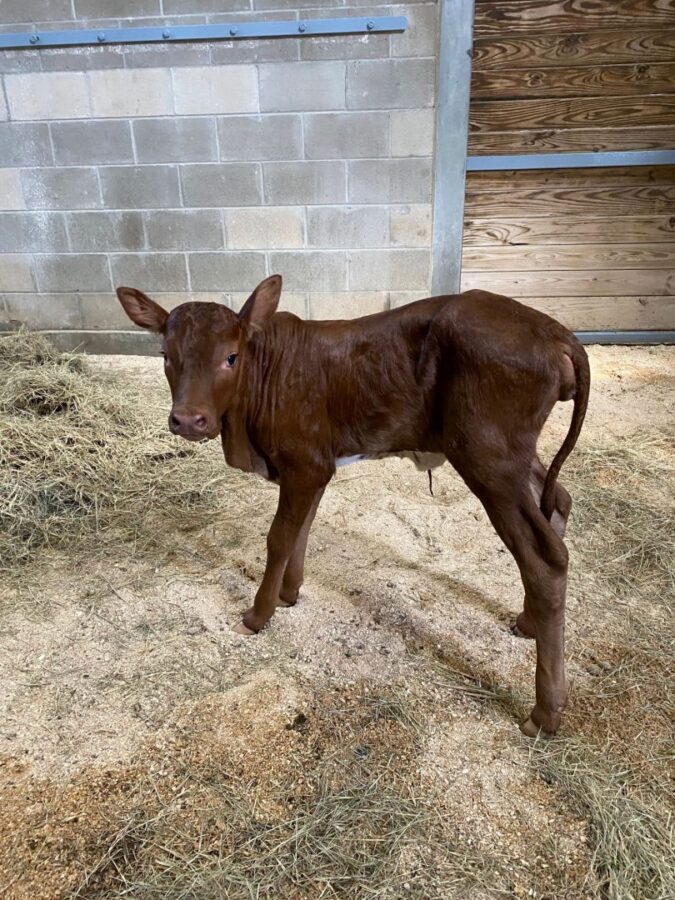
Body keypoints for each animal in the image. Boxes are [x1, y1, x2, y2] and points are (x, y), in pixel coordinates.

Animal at [116, 277, 590, 737]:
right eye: (165, 356)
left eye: (231, 357)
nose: (188, 420)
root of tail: (555, 331)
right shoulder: (315, 466)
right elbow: (302, 528)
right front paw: (289, 593)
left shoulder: (304, 462)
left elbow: (279, 537)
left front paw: (258, 614)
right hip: (513, 458)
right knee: (558, 502)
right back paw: (527, 622)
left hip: (488, 458)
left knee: (545, 558)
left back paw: (544, 713)